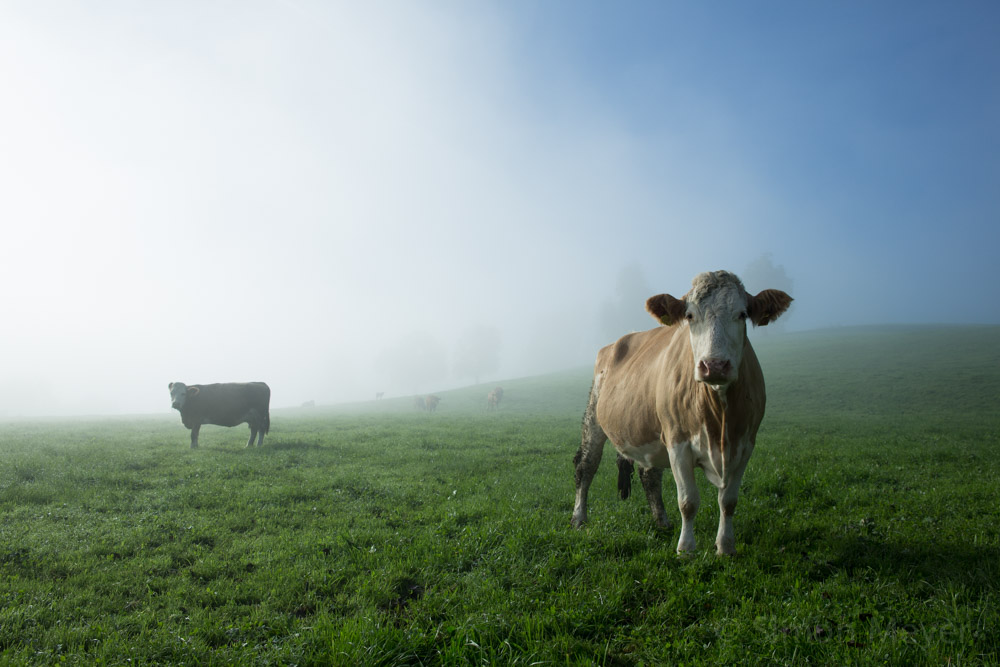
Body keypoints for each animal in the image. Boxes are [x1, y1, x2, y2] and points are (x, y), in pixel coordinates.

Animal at [572, 268, 788, 556]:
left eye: (742, 314)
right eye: (690, 315)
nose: (714, 365)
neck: (719, 420)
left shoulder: (745, 444)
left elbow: (729, 501)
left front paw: (725, 546)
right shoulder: (677, 442)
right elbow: (688, 501)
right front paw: (686, 549)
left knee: (649, 475)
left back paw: (661, 521)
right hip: (594, 414)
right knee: (586, 466)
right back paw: (579, 518)